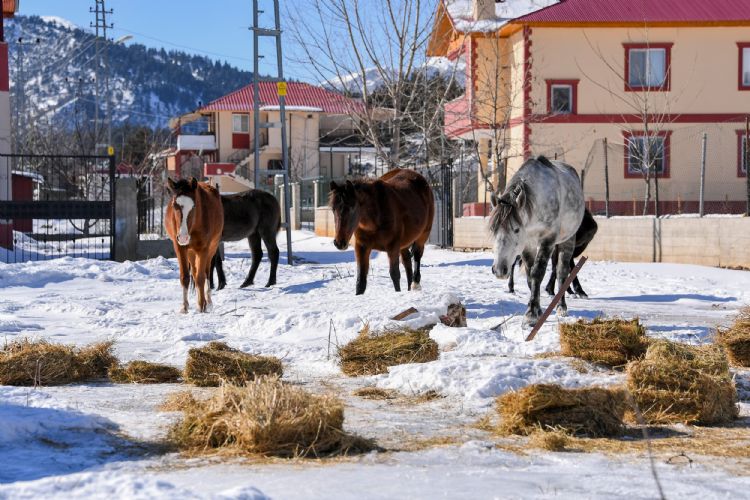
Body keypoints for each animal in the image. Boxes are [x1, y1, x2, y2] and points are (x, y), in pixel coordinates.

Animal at [164, 178, 223, 312]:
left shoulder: (203, 248)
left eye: (194, 206)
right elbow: (185, 277)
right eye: (175, 205)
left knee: (206, 272)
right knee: (195, 273)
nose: (183, 237)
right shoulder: (180, 247)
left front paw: (202, 305)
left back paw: (208, 301)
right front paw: (184, 306)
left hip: (212, 248)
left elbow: (201, 277)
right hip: (191, 252)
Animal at [490, 157, 592, 328]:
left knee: (562, 272)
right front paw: (537, 310)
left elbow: (538, 273)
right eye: (493, 229)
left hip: (567, 241)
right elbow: (530, 276)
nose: (499, 270)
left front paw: (531, 315)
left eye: (516, 229)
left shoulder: (547, 240)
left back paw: (561, 307)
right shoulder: (528, 245)